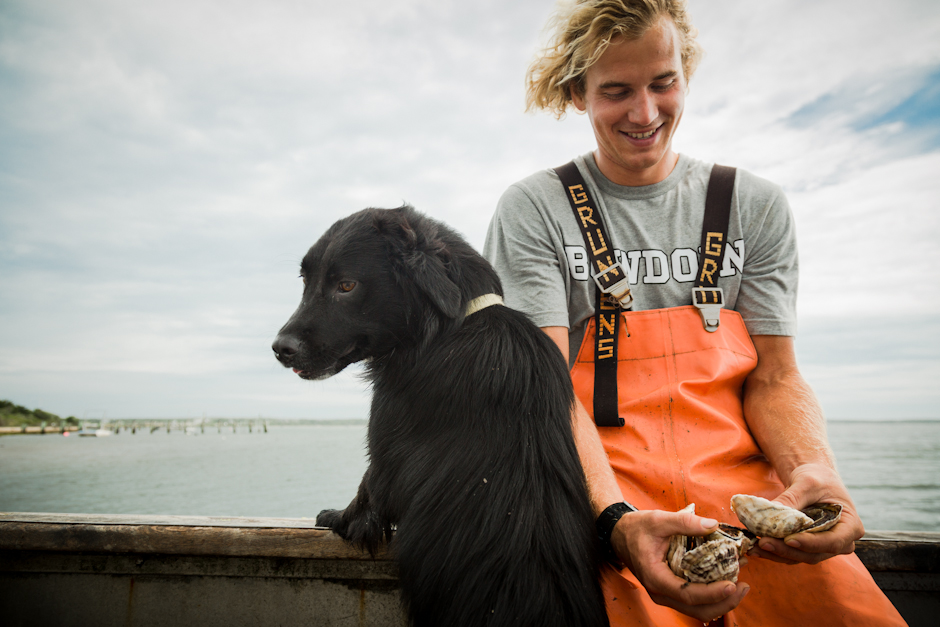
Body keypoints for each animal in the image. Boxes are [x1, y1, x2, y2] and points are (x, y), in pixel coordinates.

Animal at [272, 207, 608, 627]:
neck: (448, 324)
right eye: (306, 281)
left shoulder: (385, 443)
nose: (279, 348)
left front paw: (338, 517)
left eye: (346, 285)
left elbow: (368, 492)